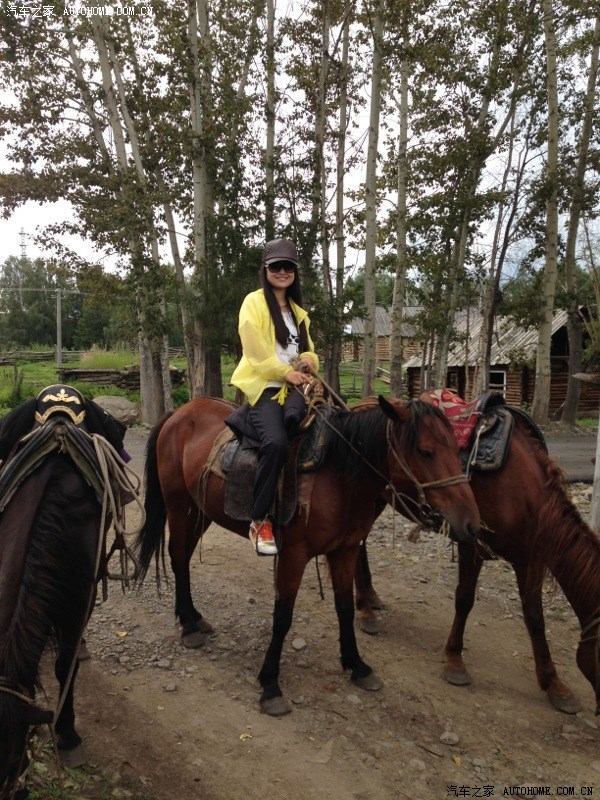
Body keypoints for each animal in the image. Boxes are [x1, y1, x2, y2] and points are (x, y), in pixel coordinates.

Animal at [136, 394, 480, 716]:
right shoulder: (293, 555)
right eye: (425, 451)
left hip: (201, 510)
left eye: (456, 449)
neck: (338, 476)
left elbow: (345, 609)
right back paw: (189, 627)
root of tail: (180, 412)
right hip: (179, 505)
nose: (471, 524)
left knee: (184, 557)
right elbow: (282, 618)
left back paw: (194, 617)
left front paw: (357, 665)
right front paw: (270, 685)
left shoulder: (344, 551)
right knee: (177, 556)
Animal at [354, 404, 600, 716]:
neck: (523, 490)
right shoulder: (472, 543)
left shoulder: (530, 560)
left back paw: (371, 597)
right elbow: (465, 600)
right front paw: (454, 660)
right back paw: (365, 611)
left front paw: (553, 683)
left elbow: (535, 618)